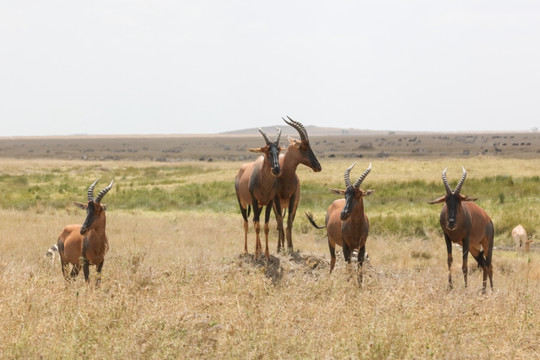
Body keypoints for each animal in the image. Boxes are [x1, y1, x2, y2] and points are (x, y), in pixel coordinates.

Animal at [234, 128, 282, 260]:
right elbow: (257, 227)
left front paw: (267, 255)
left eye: (278, 149)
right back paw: (246, 251)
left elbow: (265, 227)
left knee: (255, 220)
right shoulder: (254, 201)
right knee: (246, 223)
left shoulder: (269, 202)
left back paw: (259, 250)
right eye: (267, 150)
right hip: (243, 203)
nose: (276, 169)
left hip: (260, 206)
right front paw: (256, 255)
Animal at [274, 116, 320, 253]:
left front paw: (290, 247)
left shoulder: (293, 198)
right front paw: (279, 248)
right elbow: (280, 222)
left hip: (294, 204)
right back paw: (281, 246)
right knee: (278, 222)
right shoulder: (276, 199)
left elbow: (289, 222)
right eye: (303, 147)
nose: (318, 166)